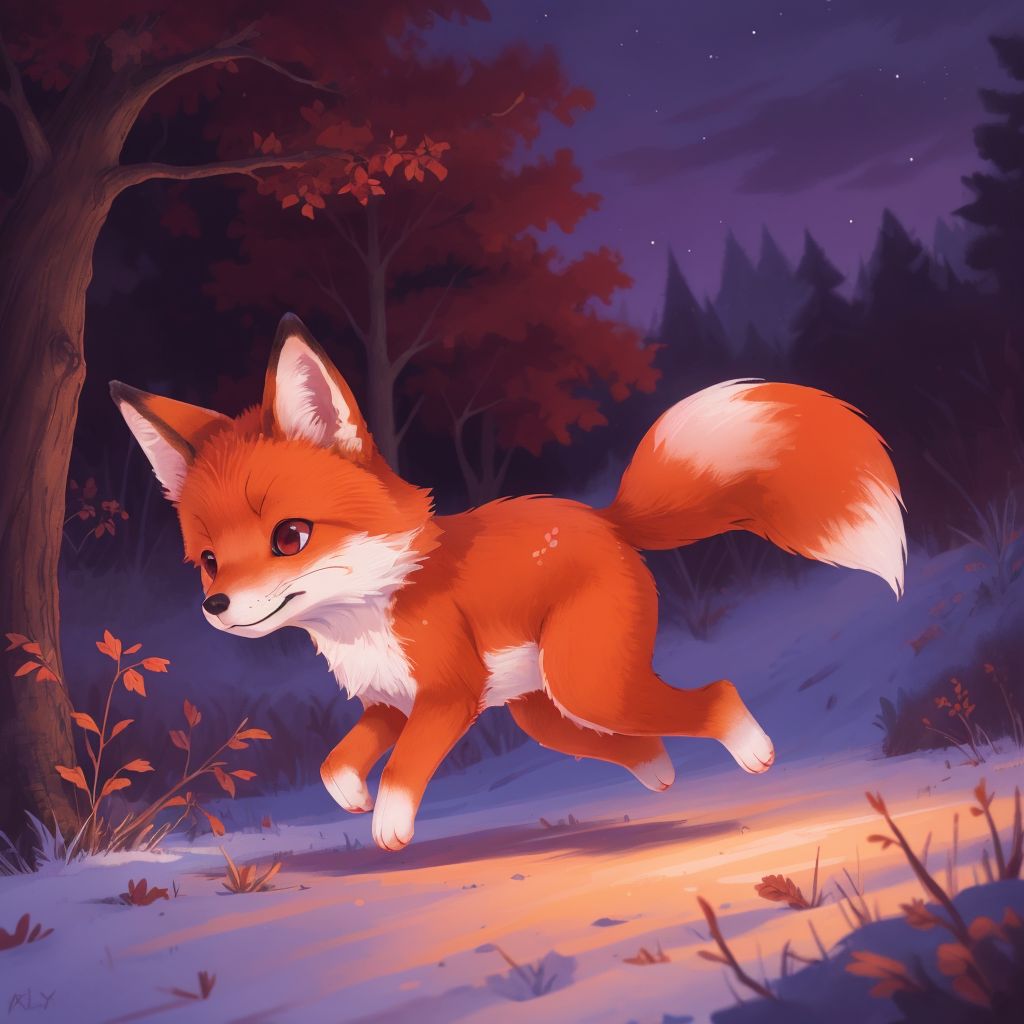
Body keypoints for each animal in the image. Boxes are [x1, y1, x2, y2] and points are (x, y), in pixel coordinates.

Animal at [111, 313, 905, 851]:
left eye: (290, 537)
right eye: (208, 560)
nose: (216, 605)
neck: (375, 603)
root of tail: (603, 517)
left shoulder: (447, 696)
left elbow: (405, 770)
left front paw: (390, 824)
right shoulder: (388, 703)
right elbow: (337, 766)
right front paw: (353, 800)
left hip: (586, 683)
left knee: (716, 693)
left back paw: (753, 751)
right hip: (544, 710)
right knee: (631, 740)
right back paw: (658, 774)